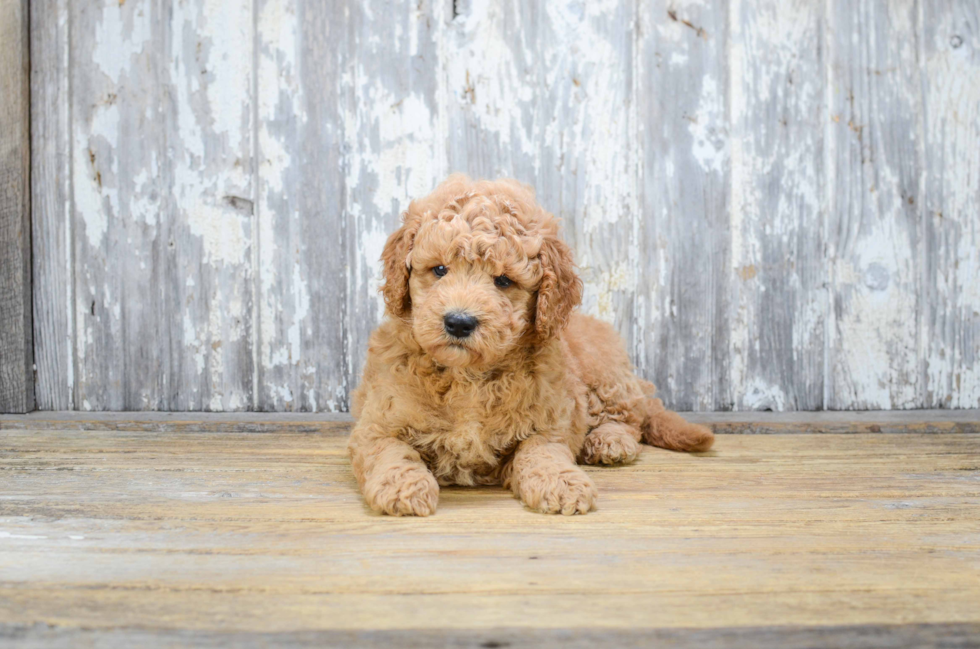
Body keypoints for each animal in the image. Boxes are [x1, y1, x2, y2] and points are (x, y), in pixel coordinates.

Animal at [350, 173, 712, 516]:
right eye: (439, 269)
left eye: (503, 281)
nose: (459, 322)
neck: (467, 377)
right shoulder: (377, 423)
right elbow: (392, 452)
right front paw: (403, 489)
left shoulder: (551, 421)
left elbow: (542, 452)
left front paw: (562, 484)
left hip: (605, 372)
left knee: (629, 417)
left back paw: (609, 441)